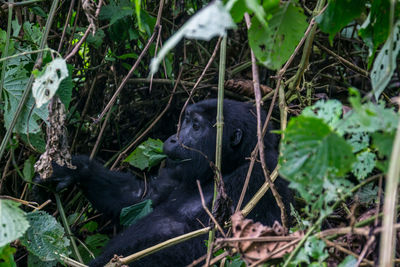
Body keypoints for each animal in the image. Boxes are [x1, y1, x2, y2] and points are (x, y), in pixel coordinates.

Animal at [36, 99, 290, 266]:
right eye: (186, 121)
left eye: (195, 126)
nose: (173, 138)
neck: (228, 167)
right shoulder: (176, 172)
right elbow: (138, 197)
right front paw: (76, 169)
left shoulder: (259, 180)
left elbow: (208, 246)